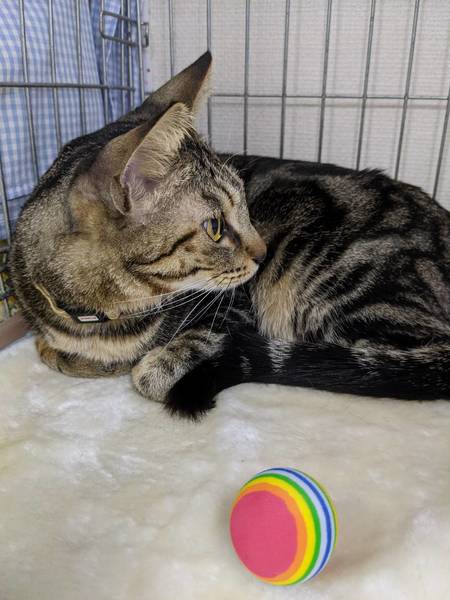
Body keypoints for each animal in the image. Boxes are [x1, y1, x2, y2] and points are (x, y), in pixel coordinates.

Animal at [10, 52, 450, 419]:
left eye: (247, 208)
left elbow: (160, 360)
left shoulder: (236, 309)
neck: (99, 313)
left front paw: (145, 361)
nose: (263, 251)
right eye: (215, 227)